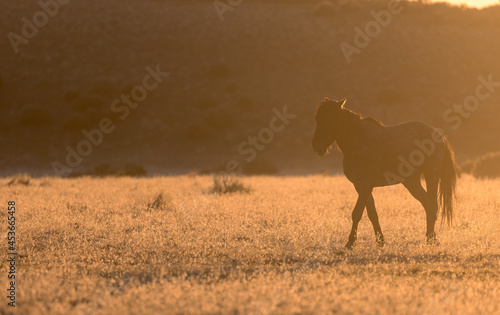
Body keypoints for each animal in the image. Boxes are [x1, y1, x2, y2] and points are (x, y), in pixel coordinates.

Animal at [312, 97, 458, 248]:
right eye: (317, 118)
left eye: (330, 118)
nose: (316, 145)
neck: (359, 141)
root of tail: (439, 135)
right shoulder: (360, 186)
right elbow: (372, 214)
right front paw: (380, 241)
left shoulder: (366, 185)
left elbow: (357, 213)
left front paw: (351, 242)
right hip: (412, 182)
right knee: (427, 204)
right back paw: (431, 237)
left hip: (431, 176)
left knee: (433, 205)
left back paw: (430, 239)